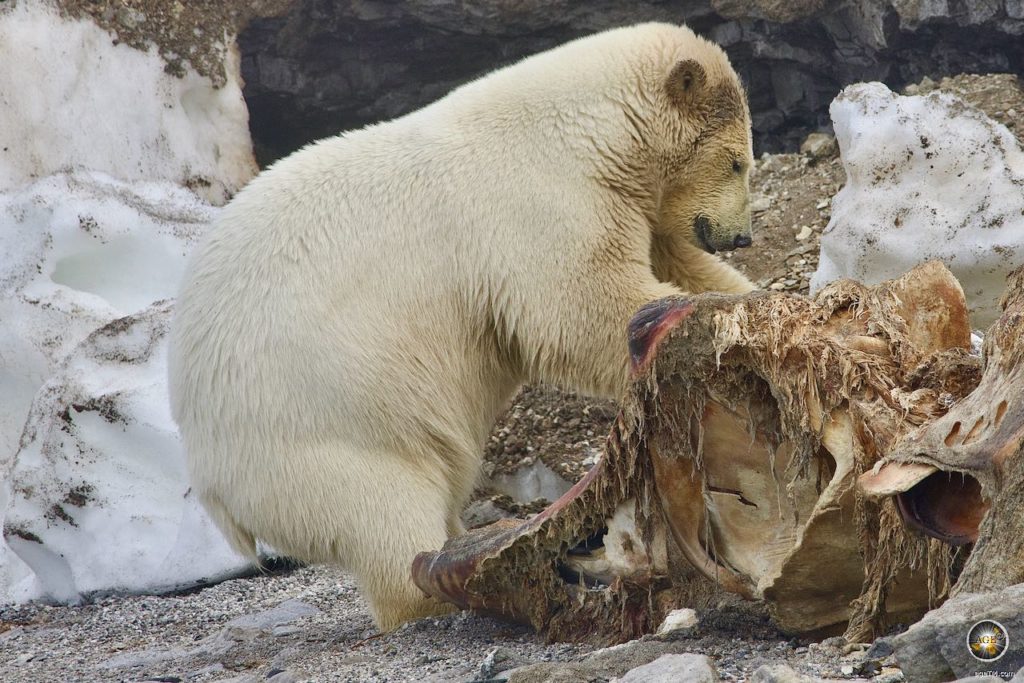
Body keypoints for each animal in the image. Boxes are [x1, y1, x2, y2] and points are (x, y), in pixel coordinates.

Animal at [167, 24, 757, 634]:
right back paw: (448, 582)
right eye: (737, 162)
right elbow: (579, 306)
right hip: (324, 426)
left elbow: (676, 260)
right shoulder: (541, 204)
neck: (587, 131)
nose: (741, 235)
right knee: (382, 508)